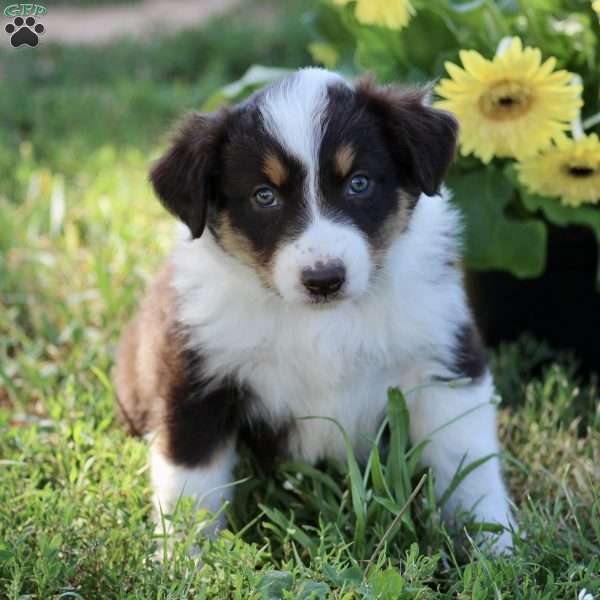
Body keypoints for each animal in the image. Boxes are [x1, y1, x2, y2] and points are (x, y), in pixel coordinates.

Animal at [117, 67, 516, 552]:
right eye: (264, 195)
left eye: (359, 183)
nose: (324, 279)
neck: (320, 323)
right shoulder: (197, 378)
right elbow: (191, 488)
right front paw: (186, 559)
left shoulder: (443, 359)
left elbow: (467, 465)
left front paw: (495, 548)